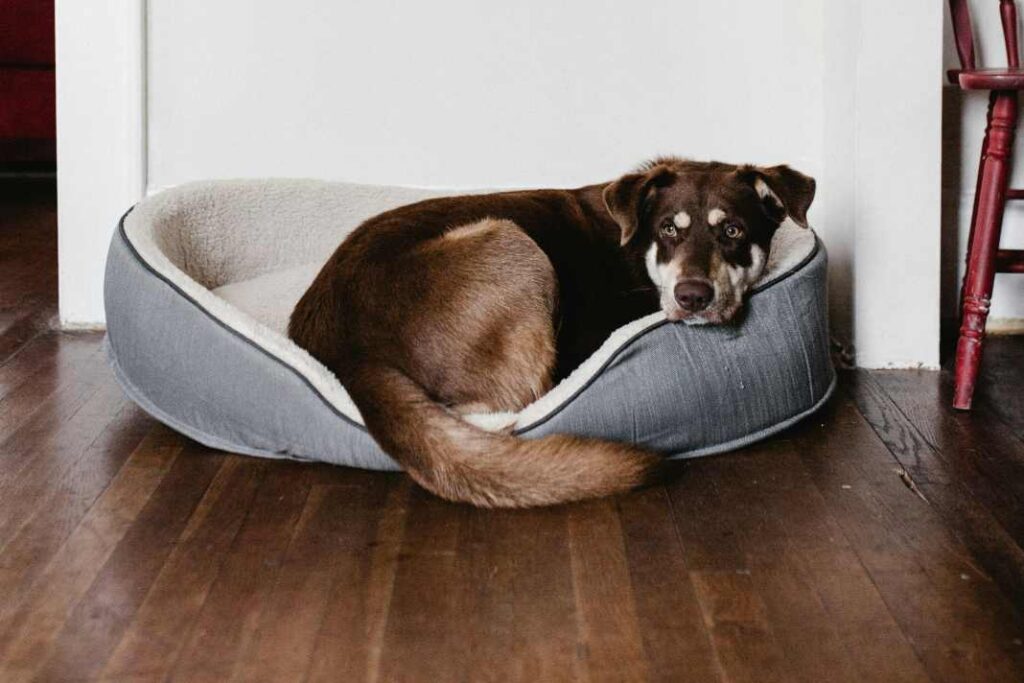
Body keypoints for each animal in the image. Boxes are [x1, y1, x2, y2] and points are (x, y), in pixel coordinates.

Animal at [288, 157, 815, 505]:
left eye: (733, 231)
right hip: (512, 242)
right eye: (669, 228)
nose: (693, 296)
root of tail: (347, 352)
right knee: (517, 403)